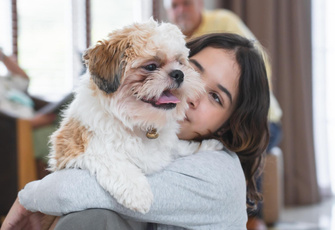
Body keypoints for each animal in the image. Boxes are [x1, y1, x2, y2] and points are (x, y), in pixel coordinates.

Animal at [46, 18, 220, 213]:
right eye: (151, 66)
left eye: (180, 63)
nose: (179, 73)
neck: (136, 122)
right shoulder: (73, 149)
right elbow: (112, 160)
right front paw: (137, 192)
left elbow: (181, 149)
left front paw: (208, 145)